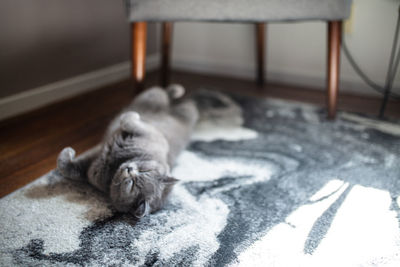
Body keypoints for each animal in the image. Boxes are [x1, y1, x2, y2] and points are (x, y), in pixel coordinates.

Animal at [56, 86, 198, 220]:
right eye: (144, 170)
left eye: (132, 184)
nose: (129, 169)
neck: (118, 162)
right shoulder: (152, 134)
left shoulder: (93, 170)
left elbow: (70, 169)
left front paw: (68, 151)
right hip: (170, 106)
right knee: (175, 98)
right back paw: (177, 91)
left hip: (154, 99)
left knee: (171, 97)